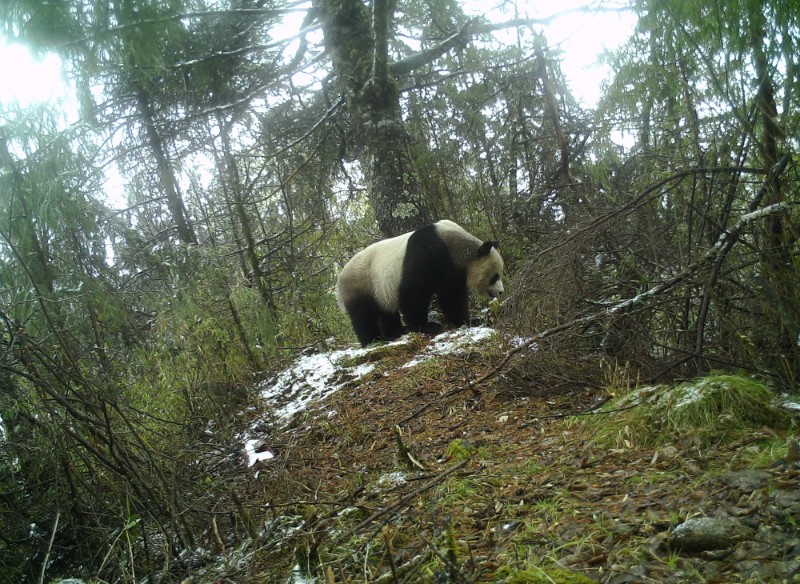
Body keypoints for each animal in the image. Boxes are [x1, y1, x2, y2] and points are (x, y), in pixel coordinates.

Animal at [334, 221, 504, 344]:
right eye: (495, 276)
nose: (501, 292)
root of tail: (339, 279)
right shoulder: (427, 252)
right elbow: (413, 292)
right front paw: (426, 326)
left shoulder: (452, 272)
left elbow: (451, 297)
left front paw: (470, 320)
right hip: (359, 284)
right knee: (363, 316)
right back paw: (373, 340)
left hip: (379, 289)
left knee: (386, 312)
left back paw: (394, 332)